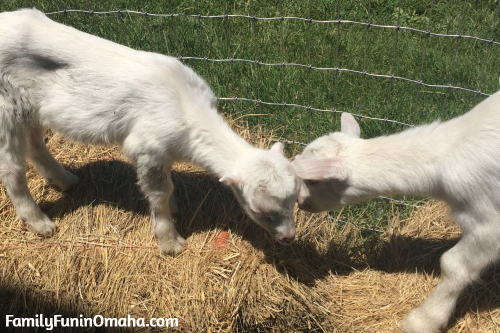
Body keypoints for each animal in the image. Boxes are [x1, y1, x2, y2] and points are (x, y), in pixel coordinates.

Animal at [0, 9, 298, 254]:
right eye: (258, 210)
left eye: (295, 200)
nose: (288, 238)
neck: (187, 105)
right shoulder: (147, 148)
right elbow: (159, 193)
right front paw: (169, 240)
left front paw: (175, 208)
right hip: (6, 106)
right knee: (11, 167)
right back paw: (39, 222)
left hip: (30, 107)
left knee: (34, 144)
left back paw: (64, 180)